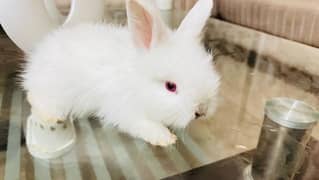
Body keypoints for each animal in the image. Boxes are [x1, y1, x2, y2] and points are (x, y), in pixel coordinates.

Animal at [20, 0, 220, 147]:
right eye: (170, 86)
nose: (201, 111)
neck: (137, 80)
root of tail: (34, 63)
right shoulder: (124, 109)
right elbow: (143, 124)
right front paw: (165, 138)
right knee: (34, 97)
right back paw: (50, 116)